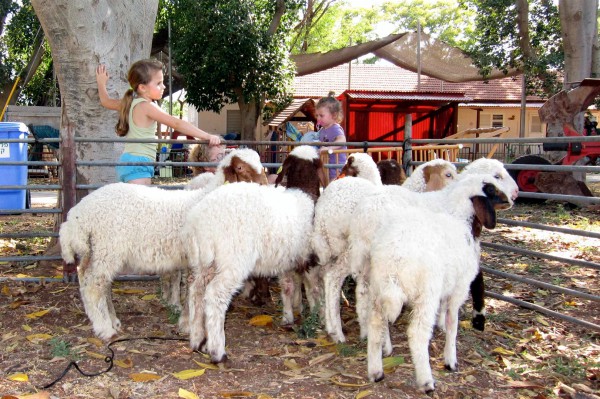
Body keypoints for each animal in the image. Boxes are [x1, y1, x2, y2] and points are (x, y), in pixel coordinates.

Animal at [59, 148, 266, 342]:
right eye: (240, 168)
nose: (266, 187)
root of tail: (78, 214)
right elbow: (193, 290)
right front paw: (188, 324)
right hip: (107, 248)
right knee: (94, 285)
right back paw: (105, 328)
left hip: (94, 250)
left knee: (89, 278)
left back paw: (111, 320)